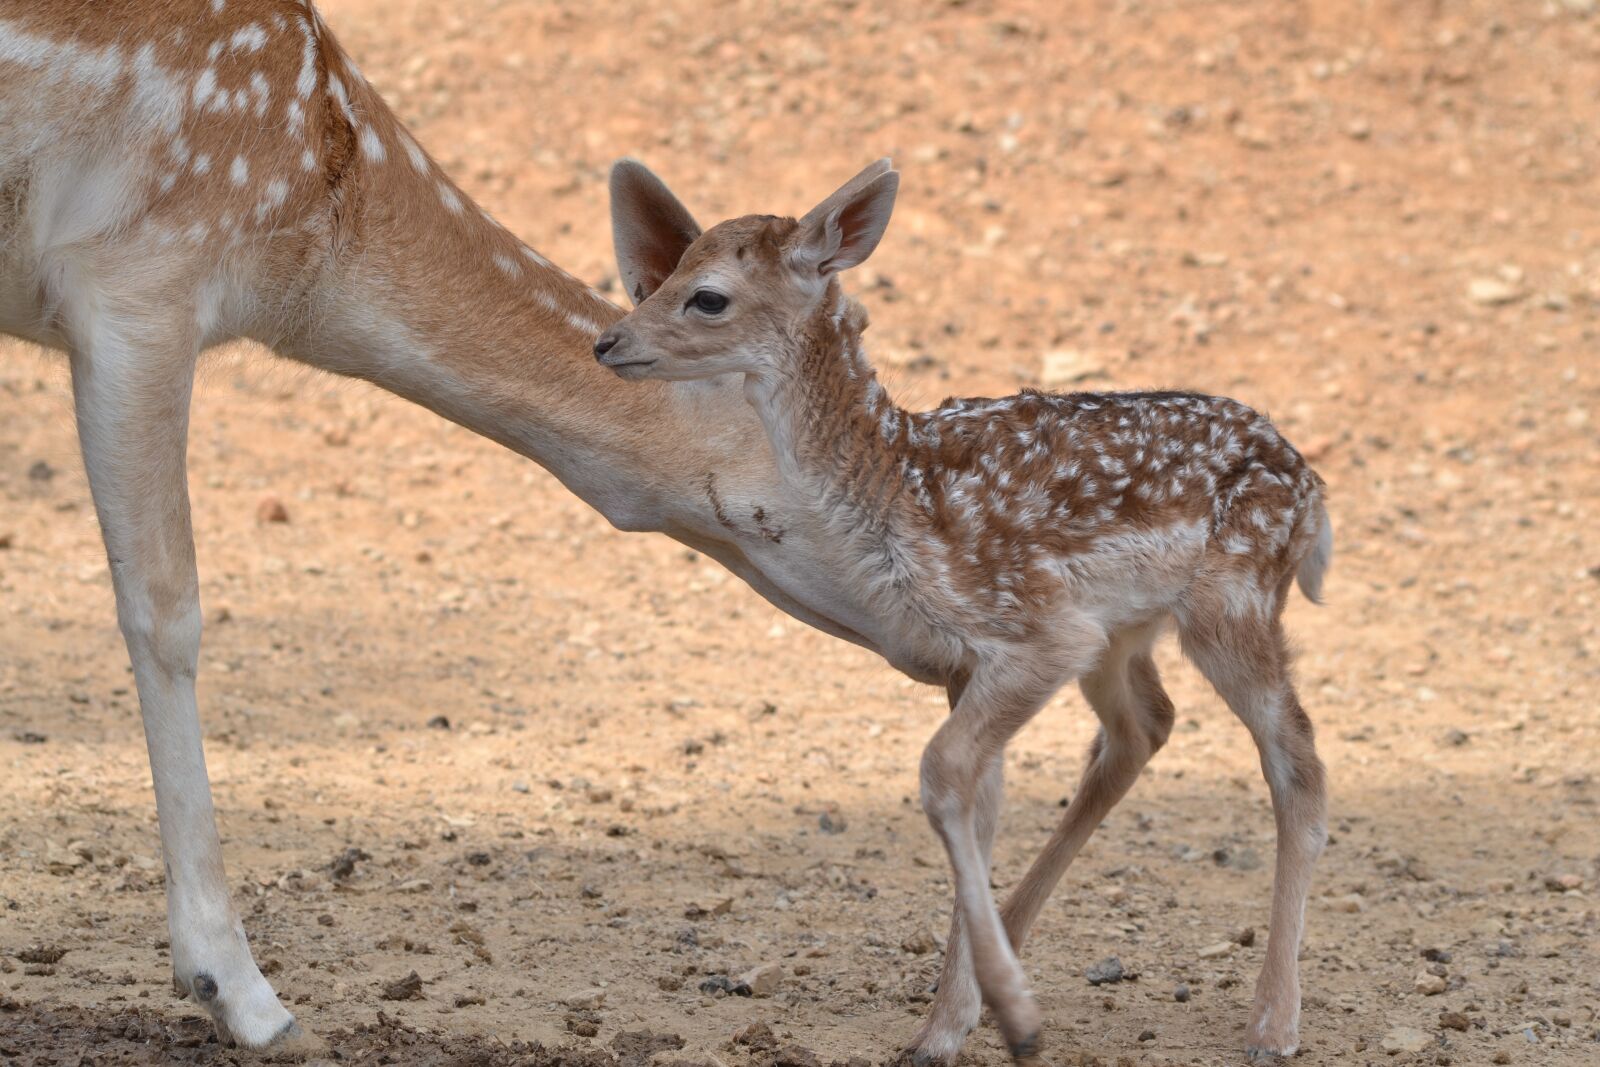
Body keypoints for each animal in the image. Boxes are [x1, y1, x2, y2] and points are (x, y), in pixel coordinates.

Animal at [594, 158, 1333, 1065]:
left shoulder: (1038, 631)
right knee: (1144, 727)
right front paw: (956, 1014)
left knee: (1297, 758)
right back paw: (1015, 938)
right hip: (1127, 630)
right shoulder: (974, 655)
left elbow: (942, 772)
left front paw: (980, 1016)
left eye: (707, 296)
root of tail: (1312, 492)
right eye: (658, 277)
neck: (898, 493)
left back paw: (1274, 1021)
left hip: (1232, 600)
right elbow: (975, 806)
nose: (608, 342)